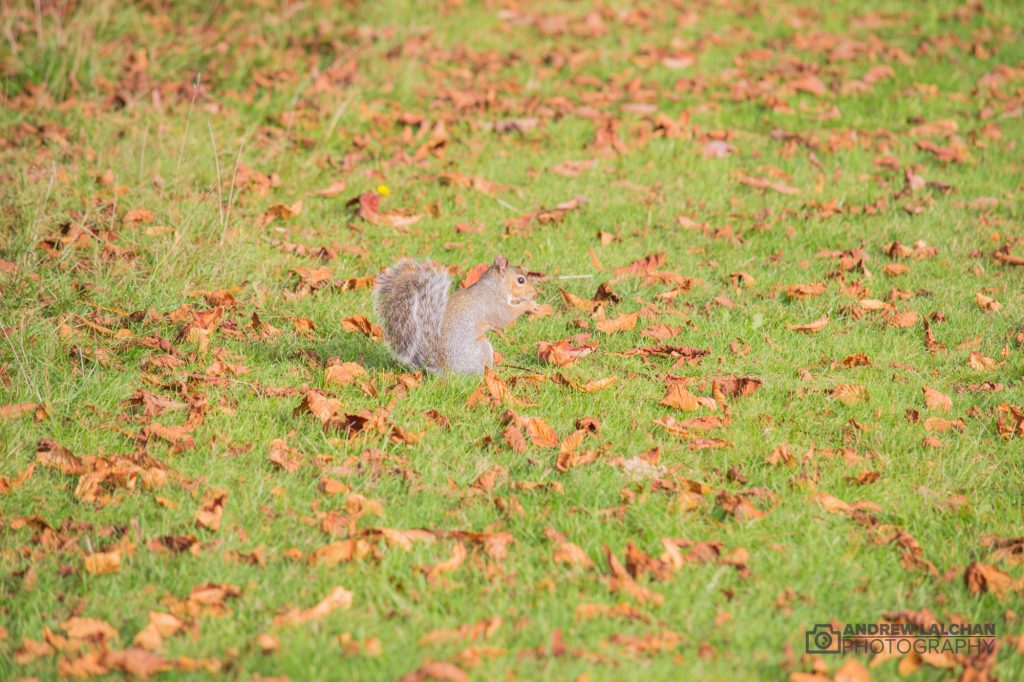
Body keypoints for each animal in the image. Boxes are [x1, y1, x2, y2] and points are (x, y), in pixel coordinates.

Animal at [372, 253, 540, 374]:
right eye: (521, 280)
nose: (534, 292)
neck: (494, 286)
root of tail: (448, 373)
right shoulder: (493, 304)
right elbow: (505, 317)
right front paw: (529, 305)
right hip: (483, 349)